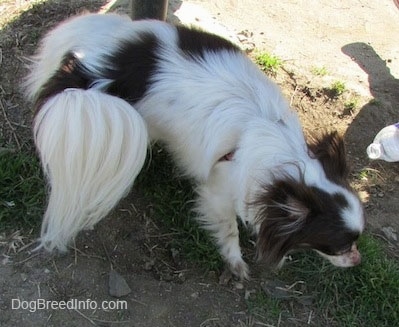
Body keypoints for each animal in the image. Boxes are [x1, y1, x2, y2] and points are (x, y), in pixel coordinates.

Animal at [24, 12, 366, 280]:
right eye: (340, 245)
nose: (357, 259)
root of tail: (97, 65)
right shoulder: (219, 192)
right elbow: (228, 229)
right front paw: (235, 262)